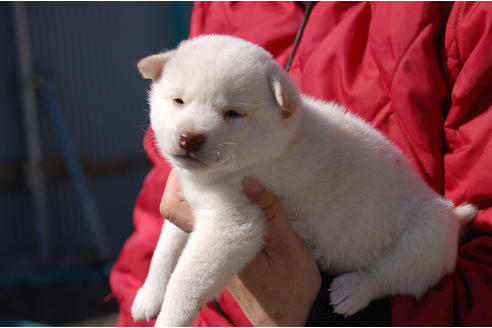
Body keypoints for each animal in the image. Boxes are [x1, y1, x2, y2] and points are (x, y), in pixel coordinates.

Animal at [131, 34, 476, 326]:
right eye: (179, 101)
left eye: (232, 113)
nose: (189, 138)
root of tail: (452, 216)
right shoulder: (190, 201)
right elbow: (166, 248)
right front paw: (150, 294)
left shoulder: (232, 224)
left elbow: (186, 281)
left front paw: (169, 318)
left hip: (426, 239)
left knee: (390, 275)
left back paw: (353, 289)